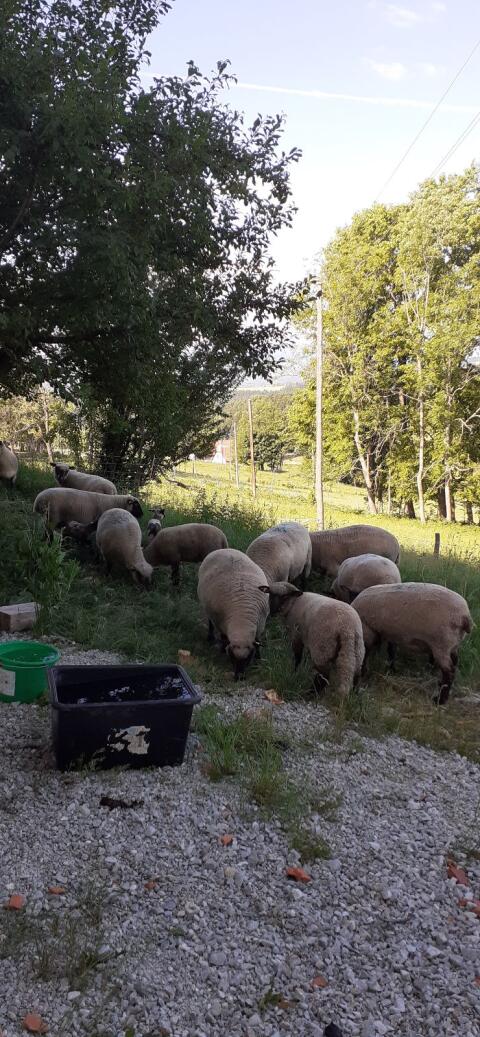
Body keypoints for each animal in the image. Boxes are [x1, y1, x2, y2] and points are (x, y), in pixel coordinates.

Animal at [198, 548, 269, 680]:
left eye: (248, 658)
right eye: (232, 658)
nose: (240, 677)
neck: (242, 619)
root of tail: (223, 549)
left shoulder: (260, 625)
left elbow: (257, 642)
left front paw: (258, 659)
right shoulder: (220, 622)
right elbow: (224, 638)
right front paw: (221, 650)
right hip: (209, 611)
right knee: (210, 622)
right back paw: (210, 637)